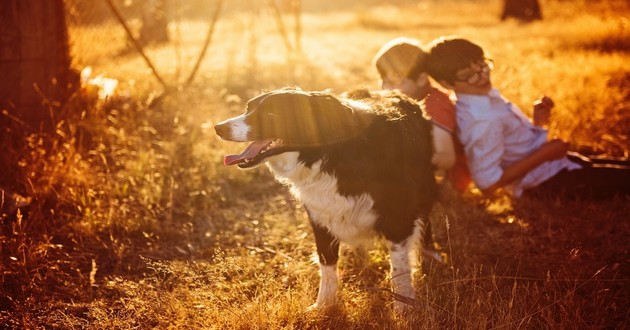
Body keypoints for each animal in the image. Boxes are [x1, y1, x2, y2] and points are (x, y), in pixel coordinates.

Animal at [215, 88, 436, 312]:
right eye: (248, 108)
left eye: (271, 115)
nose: (218, 128)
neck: (329, 154)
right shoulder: (320, 215)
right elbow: (327, 263)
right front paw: (324, 305)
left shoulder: (398, 216)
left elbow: (399, 268)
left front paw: (404, 307)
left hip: (424, 187)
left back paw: (431, 258)